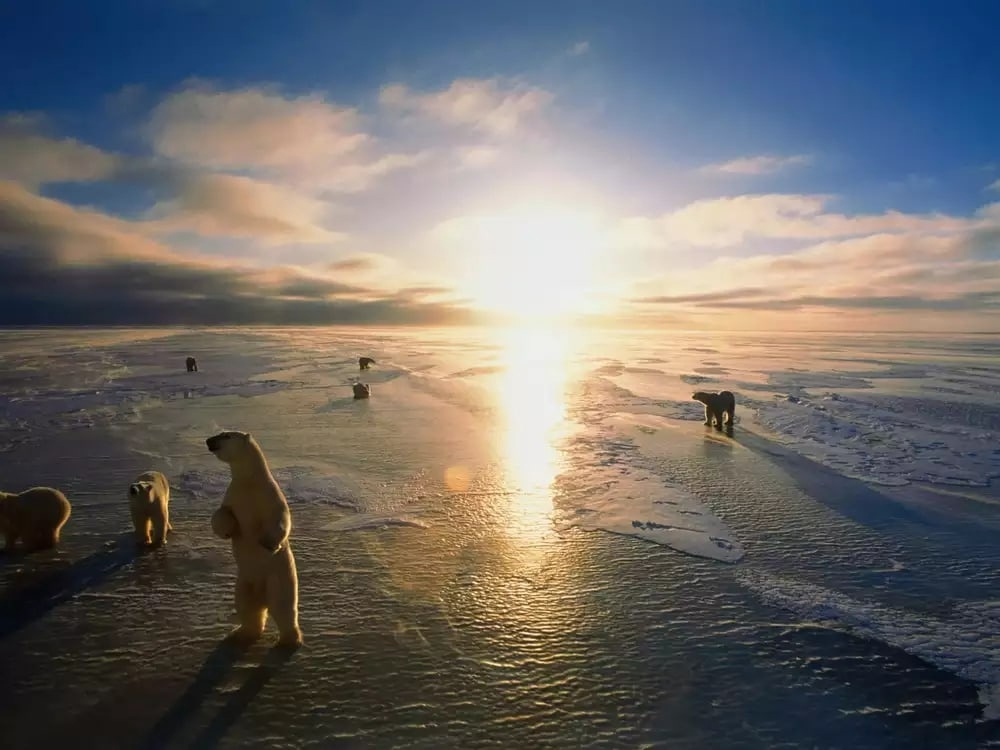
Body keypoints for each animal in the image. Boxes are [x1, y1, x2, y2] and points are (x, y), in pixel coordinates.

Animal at [206, 432, 300, 648]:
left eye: (225, 435)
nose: (208, 441)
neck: (249, 481)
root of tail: (262, 596)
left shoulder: (270, 495)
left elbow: (281, 517)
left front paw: (269, 543)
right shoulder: (233, 496)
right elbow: (221, 513)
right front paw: (226, 531)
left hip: (279, 579)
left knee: (283, 607)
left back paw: (290, 641)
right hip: (244, 582)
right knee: (248, 608)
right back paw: (240, 633)